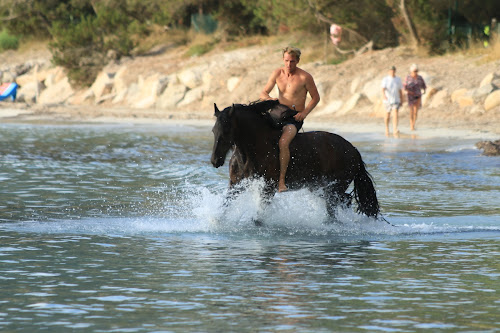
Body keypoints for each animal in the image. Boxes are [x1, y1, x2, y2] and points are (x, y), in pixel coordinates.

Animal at [210, 98, 378, 218]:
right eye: (213, 130)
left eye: (227, 129)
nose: (215, 160)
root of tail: (354, 150)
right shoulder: (236, 184)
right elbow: (223, 208)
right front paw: (215, 222)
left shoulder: (268, 188)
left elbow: (258, 218)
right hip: (321, 187)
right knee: (343, 202)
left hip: (335, 187)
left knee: (339, 204)